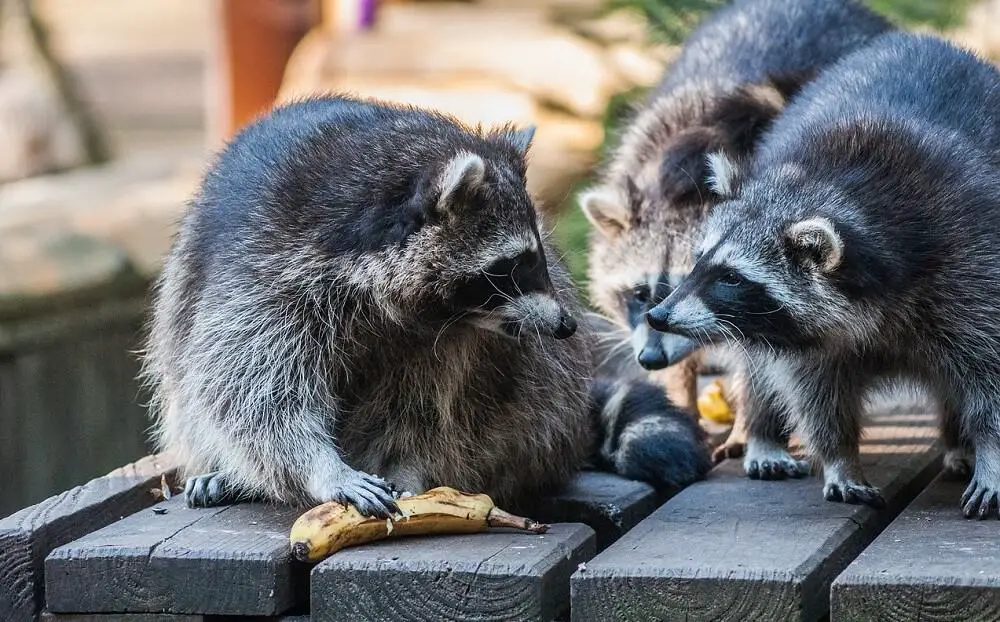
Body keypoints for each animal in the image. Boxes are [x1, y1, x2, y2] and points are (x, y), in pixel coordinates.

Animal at [143, 95, 712, 516]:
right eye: (514, 265)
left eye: (538, 258)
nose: (568, 326)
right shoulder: (262, 275)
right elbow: (250, 391)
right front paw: (322, 469)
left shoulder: (448, 342)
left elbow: (429, 408)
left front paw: (407, 467)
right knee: (190, 383)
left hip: (539, 402)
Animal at [580, 0, 892, 466]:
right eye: (637, 293)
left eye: (716, 280)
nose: (650, 358)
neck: (681, 181)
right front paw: (680, 398)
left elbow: (760, 358)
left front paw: (749, 426)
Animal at [644, 33, 1000, 520]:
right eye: (698, 260)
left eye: (732, 277)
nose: (658, 315)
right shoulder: (804, 337)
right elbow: (815, 391)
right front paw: (839, 457)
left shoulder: (973, 263)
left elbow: (990, 372)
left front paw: (991, 456)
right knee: (760, 371)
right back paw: (763, 432)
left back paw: (959, 442)